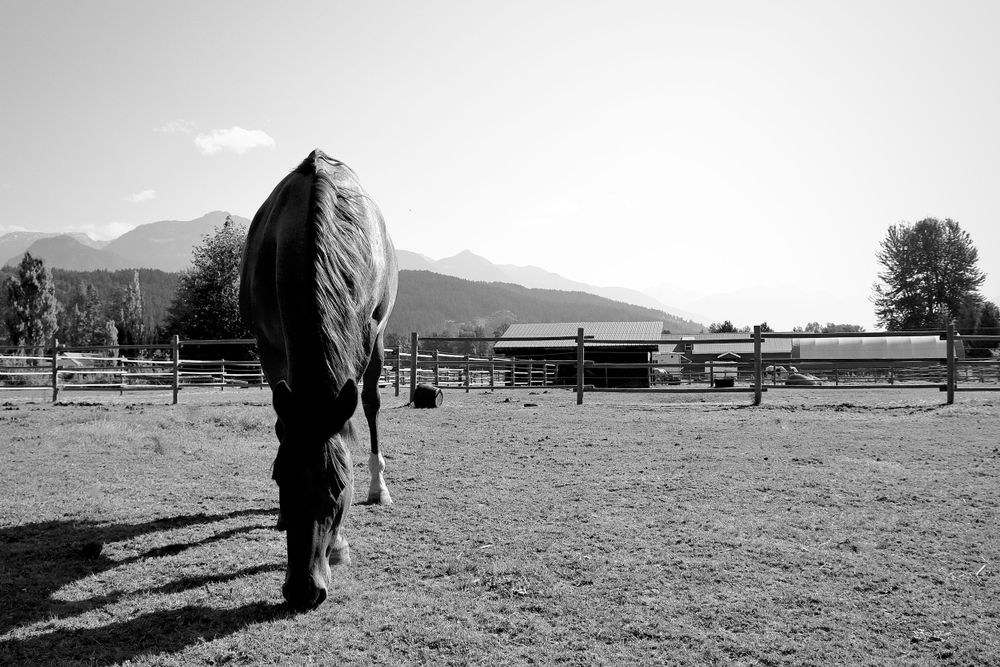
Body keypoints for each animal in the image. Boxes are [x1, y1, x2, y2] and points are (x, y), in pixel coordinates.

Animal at [239, 149, 397, 609]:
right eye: (280, 477)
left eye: (339, 485)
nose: (303, 591)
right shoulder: (270, 347)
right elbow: (282, 424)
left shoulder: (365, 335)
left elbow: (351, 421)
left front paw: (340, 544)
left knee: (371, 406)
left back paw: (379, 486)